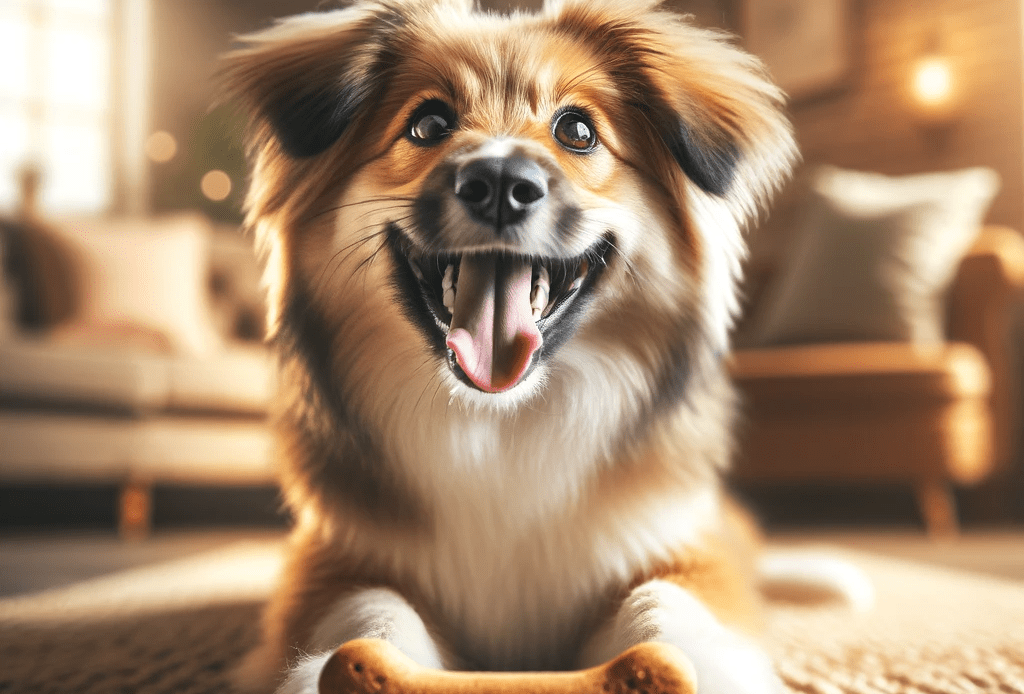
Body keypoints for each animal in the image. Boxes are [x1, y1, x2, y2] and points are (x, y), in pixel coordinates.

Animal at [224, 2, 798, 691]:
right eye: (428, 123)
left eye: (577, 130)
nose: (499, 181)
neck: (501, 424)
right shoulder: (332, 559)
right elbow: (372, 608)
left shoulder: (685, 545)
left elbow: (664, 597)